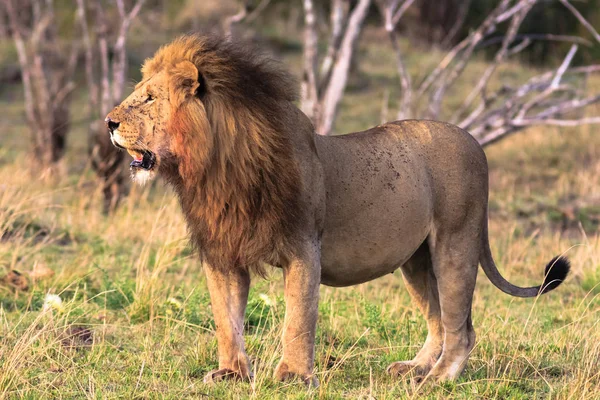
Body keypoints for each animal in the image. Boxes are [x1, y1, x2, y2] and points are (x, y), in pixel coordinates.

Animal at [105, 35, 568, 388]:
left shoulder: (303, 248)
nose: (108, 122)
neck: (216, 167)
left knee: (461, 329)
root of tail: (475, 141)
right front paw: (231, 373)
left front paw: (293, 376)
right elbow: (226, 319)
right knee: (438, 320)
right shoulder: (224, 253)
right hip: (417, 261)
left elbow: (298, 318)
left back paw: (438, 379)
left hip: (457, 241)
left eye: (148, 98)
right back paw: (415, 368)